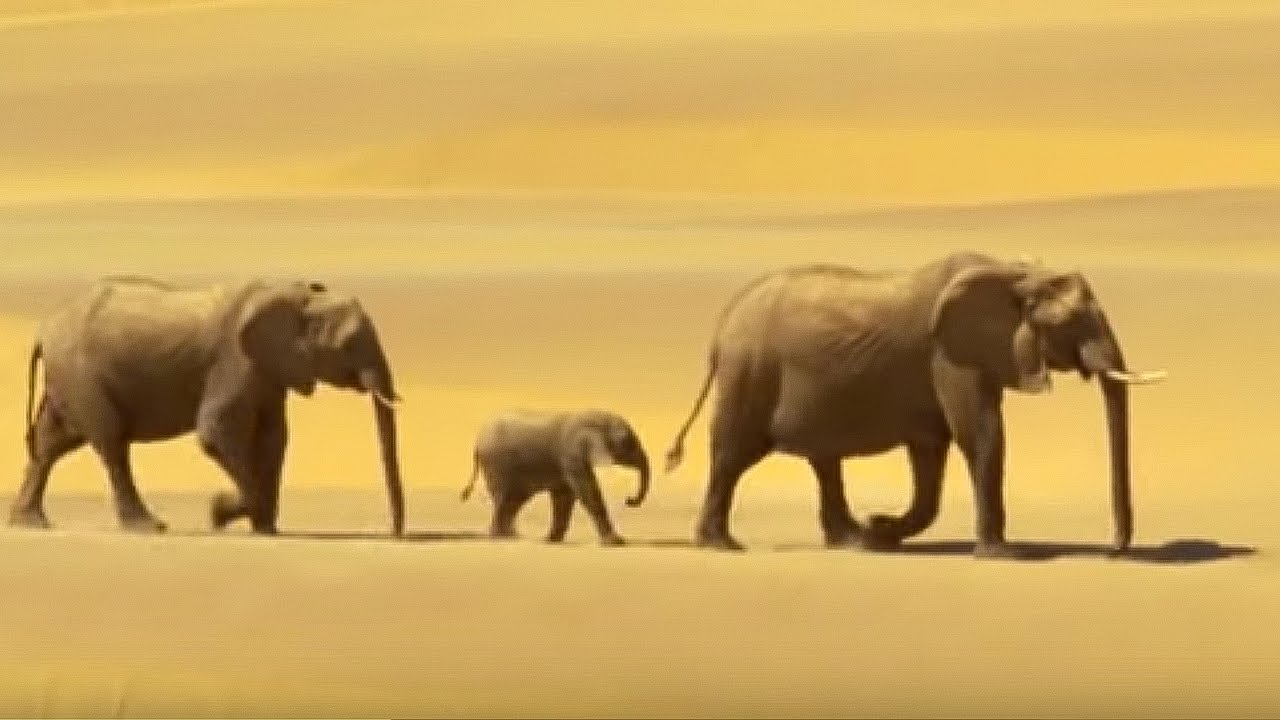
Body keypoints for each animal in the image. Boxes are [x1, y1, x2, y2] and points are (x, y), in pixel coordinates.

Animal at [8, 276, 406, 536]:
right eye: (350, 344)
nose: (396, 532)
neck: (295, 295)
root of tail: (43, 330)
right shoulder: (234, 361)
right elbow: (216, 431)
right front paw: (220, 513)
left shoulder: (269, 371)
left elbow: (273, 438)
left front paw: (265, 528)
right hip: (81, 376)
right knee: (111, 443)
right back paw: (148, 527)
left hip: (68, 378)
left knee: (51, 443)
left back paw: (29, 523)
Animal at [460, 410, 651, 546]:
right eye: (627, 441)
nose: (629, 500)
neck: (594, 418)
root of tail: (476, 443)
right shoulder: (571, 453)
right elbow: (587, 491)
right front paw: (616, 543)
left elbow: (564, 496)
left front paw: (551, 540)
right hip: (496, 464)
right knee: (505, 498)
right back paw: (501, 537)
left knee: (514, 500)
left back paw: (512, 536)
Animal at [663, 251, 1166, 558]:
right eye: (1073, 320)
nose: (1115, 548)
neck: (1013, 271)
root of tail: (721, 327)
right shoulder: (949, 354)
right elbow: (979, 433)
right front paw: (1005, 555)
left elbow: (932, 449)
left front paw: (881, 530)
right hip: (750, 372)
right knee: (733, 455)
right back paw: (722, 545)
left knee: (823, 461)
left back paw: (853, 541)